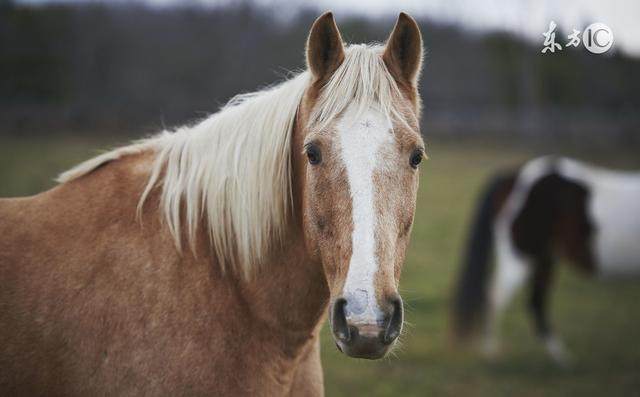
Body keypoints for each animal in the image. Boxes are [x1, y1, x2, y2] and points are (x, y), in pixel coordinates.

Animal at [452, 155, 640, 366]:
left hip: (543, 257)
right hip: (522, 255)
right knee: (497, 296)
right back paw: (493, 353)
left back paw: (559, 356)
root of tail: (513, 176)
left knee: (535, 301)